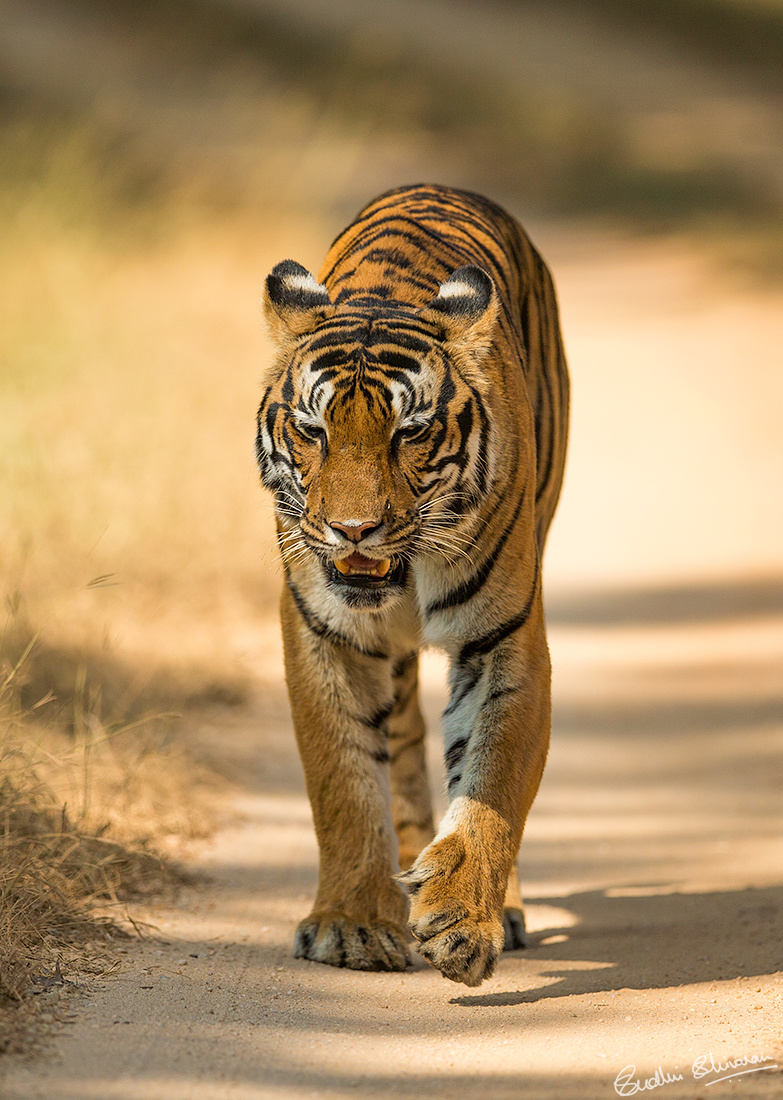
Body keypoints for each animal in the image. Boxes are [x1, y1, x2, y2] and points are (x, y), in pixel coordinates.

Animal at [257, 182, 567, 990]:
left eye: (410, 432)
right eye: (313, 430)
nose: (353, 529)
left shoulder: (503, 639)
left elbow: (492, 784)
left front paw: (462, 917)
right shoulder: (324, 632)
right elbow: (343, 780)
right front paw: (352, 925)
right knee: (398, 743)